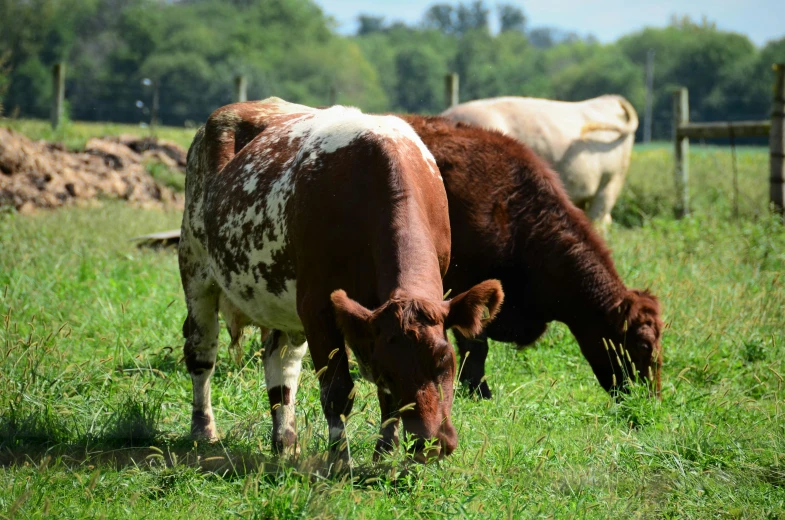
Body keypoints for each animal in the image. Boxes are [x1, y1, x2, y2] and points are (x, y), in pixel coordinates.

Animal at [179, 97, 502, 464]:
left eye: (445, 361)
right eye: (390, 371)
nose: (430, 443)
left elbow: (383, 399)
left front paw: (383, 455)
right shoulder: (317, 306)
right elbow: (337, 391)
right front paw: (340, 461)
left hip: (279, 300)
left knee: (281, 363)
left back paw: (285, 441)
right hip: (195, 268)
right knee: (201, 352)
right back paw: (203, 429)